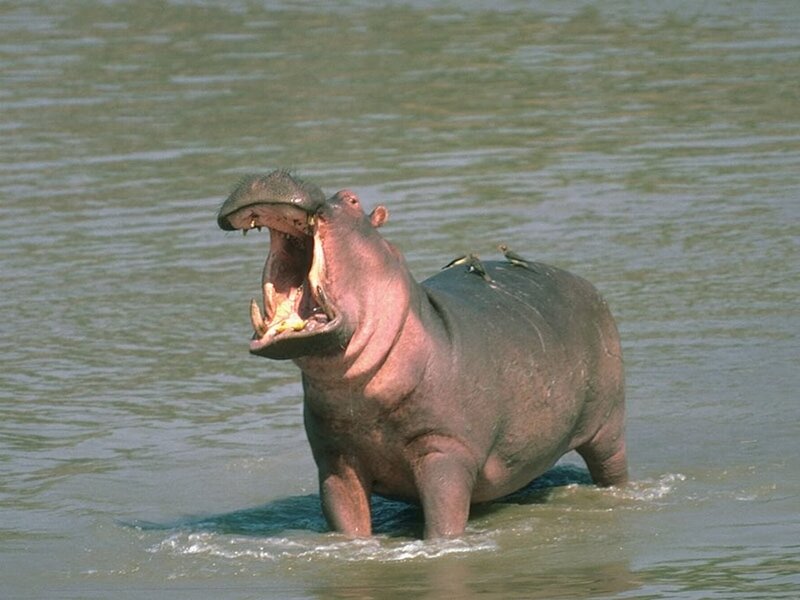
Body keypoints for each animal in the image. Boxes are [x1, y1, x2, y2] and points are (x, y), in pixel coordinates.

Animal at [217, 170, 628, 539]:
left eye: (352, 199)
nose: (267, 174)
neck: (354, 388)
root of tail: (584, 282)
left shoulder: (444, 449)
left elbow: (443, 521)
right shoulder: (336, 458)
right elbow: (348, 521)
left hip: (608, 424)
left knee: (611, 464)